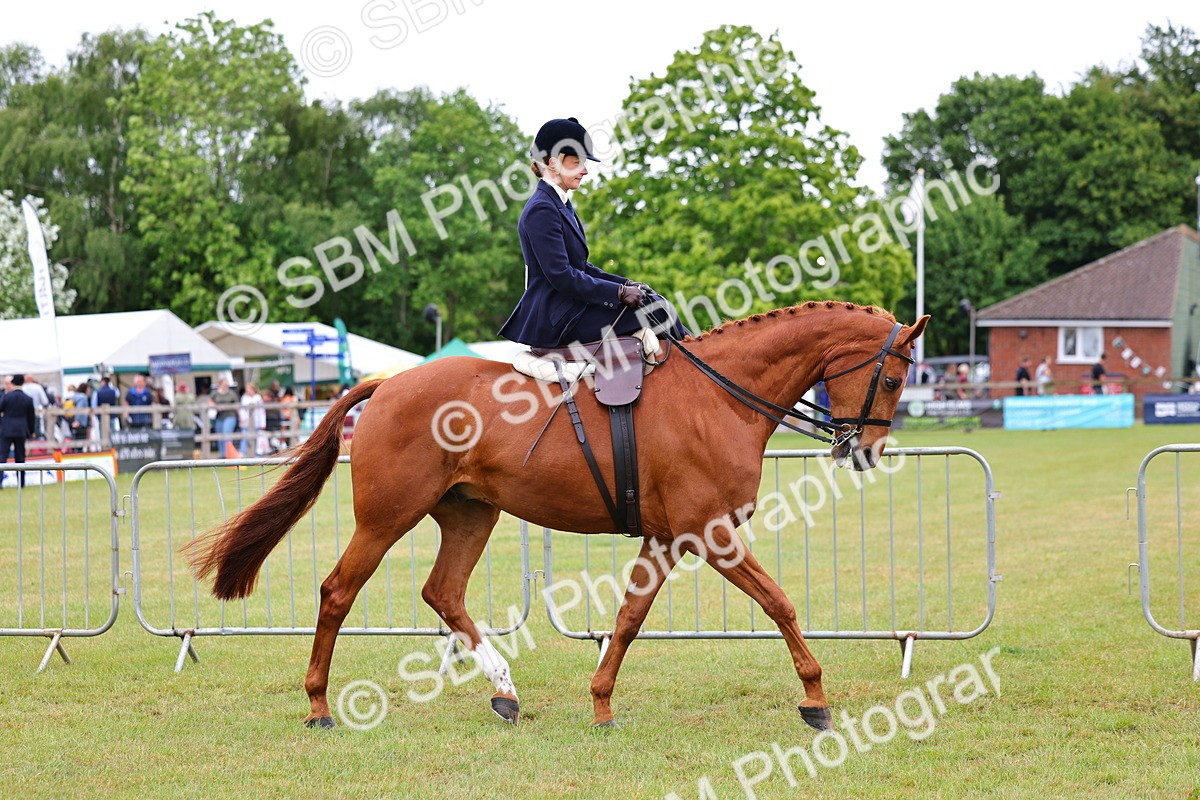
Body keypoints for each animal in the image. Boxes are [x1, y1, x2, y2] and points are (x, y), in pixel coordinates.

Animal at [187, 301, 928, 731]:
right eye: (894, 378)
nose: (865, 452)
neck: (718, 396)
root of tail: (389, 383)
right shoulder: (711, 534)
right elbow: (779, 603)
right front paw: (816, 700)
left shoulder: (667, 539)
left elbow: (628, 620)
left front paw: (600, 702)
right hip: (386, 518)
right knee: (338, 592)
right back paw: (318, 704)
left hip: (469, 516)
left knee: (443, 592)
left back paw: (505, 692)